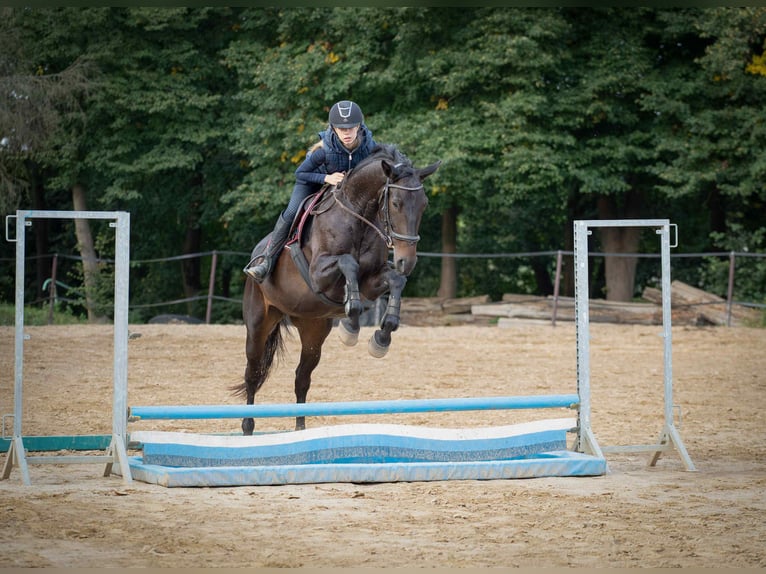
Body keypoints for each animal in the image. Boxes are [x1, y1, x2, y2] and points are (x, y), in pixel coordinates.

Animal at [234, 144, 441, 435]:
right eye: (396, 204)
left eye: (424, 205)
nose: (406, 262)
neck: (359, 215)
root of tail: (256, 253)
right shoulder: (319, 275)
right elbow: (348, 263)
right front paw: (351, 325)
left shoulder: (372, 281)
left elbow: (394, 282)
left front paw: (381, 336)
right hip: (258, 322)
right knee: (252, 373)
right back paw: (248, 427)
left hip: (313, 329)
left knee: (302, 378)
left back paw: (300, 429)